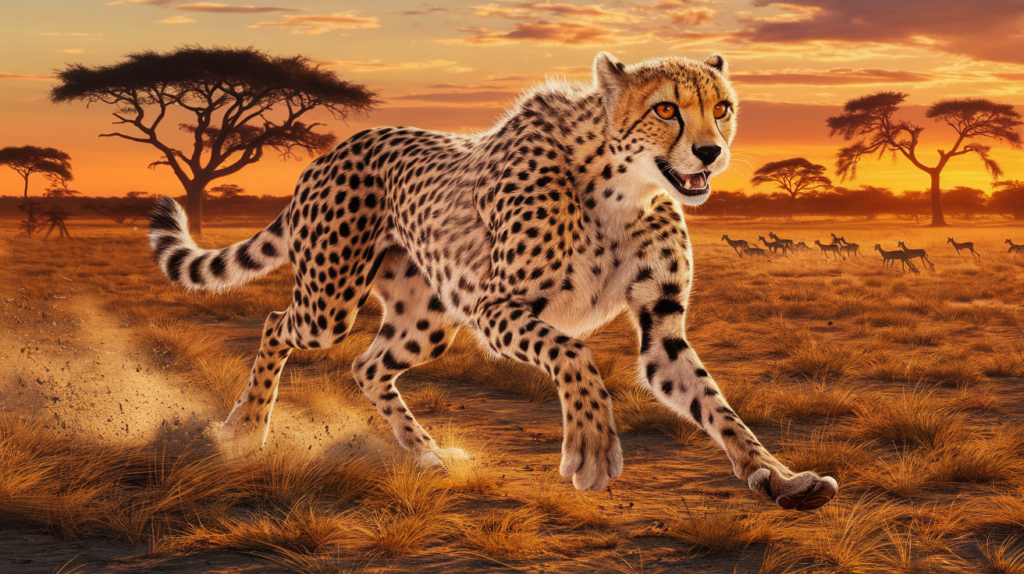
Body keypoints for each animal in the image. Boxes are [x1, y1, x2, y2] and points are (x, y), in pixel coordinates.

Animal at [149, 52, 838, 511]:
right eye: (666, 109)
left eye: (722, 108)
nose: (710, 152)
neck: (625, 188)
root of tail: (331, 150)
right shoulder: (495, 307)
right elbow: (575, 352)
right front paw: (591, 448)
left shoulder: (661, 328)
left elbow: (715, 404)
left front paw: (777, 476)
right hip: (330, 303)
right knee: (276, 324)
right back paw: (246, 428)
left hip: (425, 322)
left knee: (368, 365)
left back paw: (427, 453)